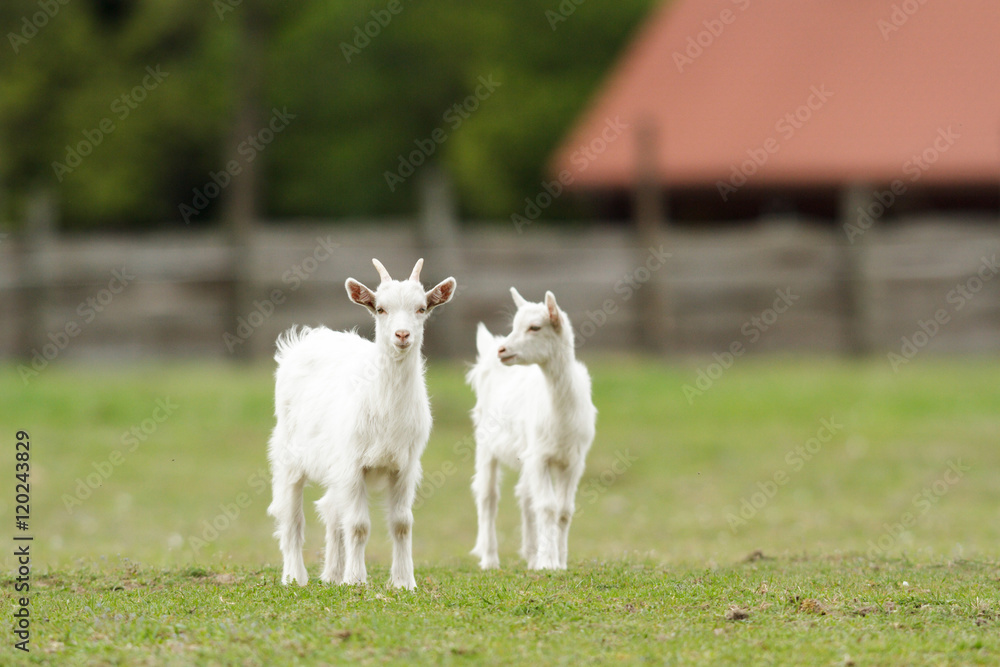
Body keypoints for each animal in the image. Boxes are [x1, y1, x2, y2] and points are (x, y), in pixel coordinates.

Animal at [267, 258, 456, 589]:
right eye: (380, 308)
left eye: (422, 308)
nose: (402, 335)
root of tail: (306, 337)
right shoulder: (353, 462)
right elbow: (358, 525)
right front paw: (355, 579)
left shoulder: (405, 466)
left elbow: (402, 523)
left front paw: (404, 581)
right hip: (289, 454)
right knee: (291, 516)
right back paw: (294, 576)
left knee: (330, 509)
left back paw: (331, 573)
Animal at [467, 288, 596, 570]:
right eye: (514, 325)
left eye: (535, 327)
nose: (503, 350)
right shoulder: (540, 456)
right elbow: (547, 506)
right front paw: (548, 562)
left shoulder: (573, 460)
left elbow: (564, 510)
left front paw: (559, 561)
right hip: (485, 442)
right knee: (488, 496)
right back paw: (490, 559)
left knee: (525, 495)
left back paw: (530, 554)